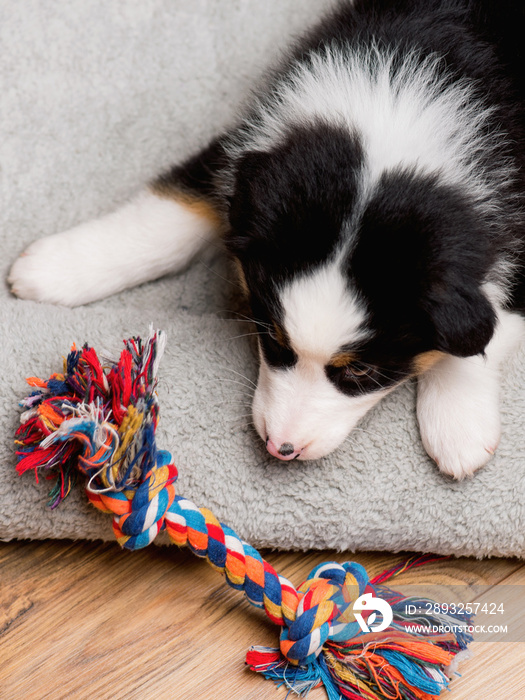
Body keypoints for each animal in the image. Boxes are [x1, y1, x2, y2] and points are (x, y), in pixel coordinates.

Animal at [8, 0, 524, 478]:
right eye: (273, 337)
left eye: (362, 371)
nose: (281, 448)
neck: (393, 124)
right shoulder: (253, 154)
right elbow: (172, 211)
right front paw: (57, 268)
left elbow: (488, 324)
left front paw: (458, 426)